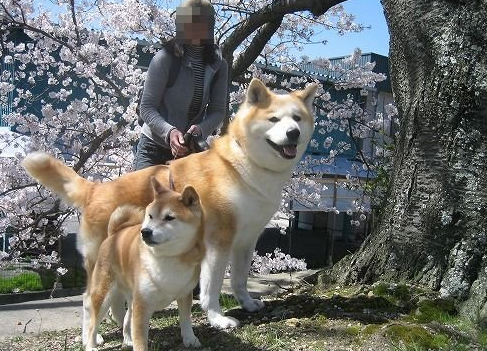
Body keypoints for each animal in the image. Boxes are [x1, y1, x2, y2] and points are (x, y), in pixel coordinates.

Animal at [22, 78, 318, 332]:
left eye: (297, 118)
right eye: (274, 119)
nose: (293, 133)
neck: (242, 165)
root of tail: (95, 188)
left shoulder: (246, 240)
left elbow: (239, 279)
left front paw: (247, 303)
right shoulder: (218, 242)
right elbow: (211, 287)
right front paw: (218, 319)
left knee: (116, 298)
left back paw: (121, 323)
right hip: (99, 264)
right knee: (88, 300)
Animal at [86, 179, 204, 351]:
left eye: (169, 218)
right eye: (150, 216)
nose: (145, 231)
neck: (167, 258)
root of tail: (114, 235)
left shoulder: (184, 295)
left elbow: (186, 320)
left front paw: (190, 339)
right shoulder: (142, 305)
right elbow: (140, 339)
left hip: (131, 296)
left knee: (126, 320)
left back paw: (128, 340)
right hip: (104, 295)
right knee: (92, 325)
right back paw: (91, 345)